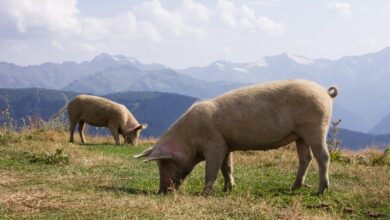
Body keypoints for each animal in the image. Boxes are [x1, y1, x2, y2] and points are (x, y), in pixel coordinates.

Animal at [136, 79, 336, 196]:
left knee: (323, 156)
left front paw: (204, 194)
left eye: (164, 163)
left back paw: (321, 191)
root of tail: (325, 92)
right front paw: (228, 189)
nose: (161, 191)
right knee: (306, 158)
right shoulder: (226, 145)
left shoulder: (214, 145)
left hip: (316, 127)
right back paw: (293, 188)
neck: (189, 139)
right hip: (300, 135)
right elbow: (227, 167)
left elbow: (212, 170)